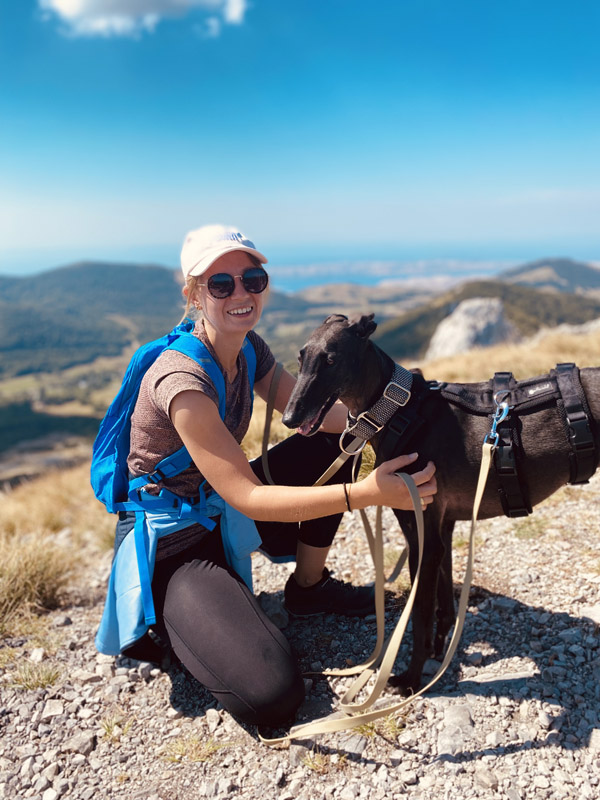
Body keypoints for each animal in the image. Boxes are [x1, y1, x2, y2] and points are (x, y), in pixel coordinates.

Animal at [282, 313, 600, 693]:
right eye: (300, 358)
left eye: (331, 360)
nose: (289, 418)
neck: (399, 410)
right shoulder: (443, 528)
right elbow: (444, 605)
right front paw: (439, 651)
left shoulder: (423, 537)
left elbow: (420, 614)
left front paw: (411, 679)